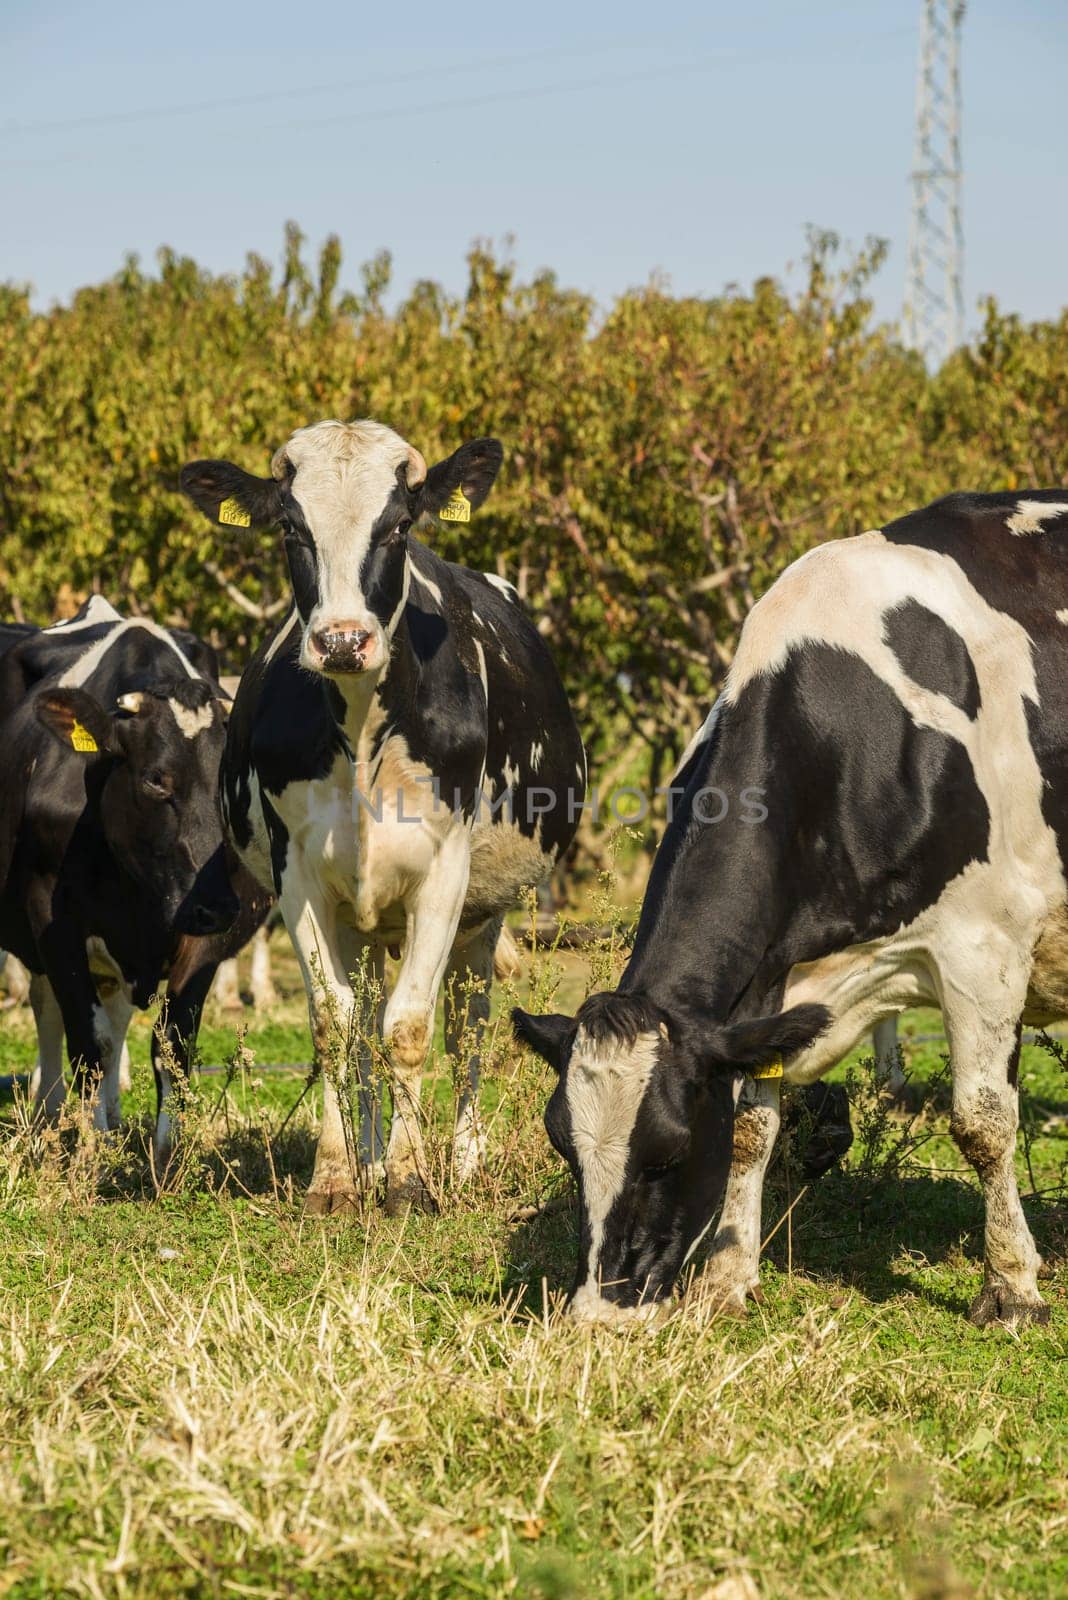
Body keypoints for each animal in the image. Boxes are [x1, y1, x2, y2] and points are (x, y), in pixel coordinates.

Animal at [0, 598, 260, 1152]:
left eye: (231, 779)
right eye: (155, 780)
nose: (217, 905)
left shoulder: (206, 935)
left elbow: (173, 1044)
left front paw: (167, 1153)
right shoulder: (52, 918)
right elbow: (88, 1042)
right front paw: (91, 1149)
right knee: (49, 1007)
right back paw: (50, 1108)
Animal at [180, 419, 588, 1216]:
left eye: (399, 525)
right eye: (291, 528)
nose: (342, 640)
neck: (365, 723)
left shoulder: (445, 872)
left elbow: (409, 1028)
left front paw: (408, 1179)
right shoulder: (298, 874)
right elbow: (336, 1025)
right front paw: (341, 1176)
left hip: (483, 915)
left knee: (468, 1025)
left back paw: (460, 1159)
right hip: (359, 919)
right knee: (364, 1010)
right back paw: (367, 1158)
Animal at [511, 492, 1068, 1331]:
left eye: (670, 1151)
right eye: (564, 1150)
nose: (600, 1313)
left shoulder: (986, 943)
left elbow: (982, 1122)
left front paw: (1010, 1288)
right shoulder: (764, 984)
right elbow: (751, 1126)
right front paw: (728, 1277)